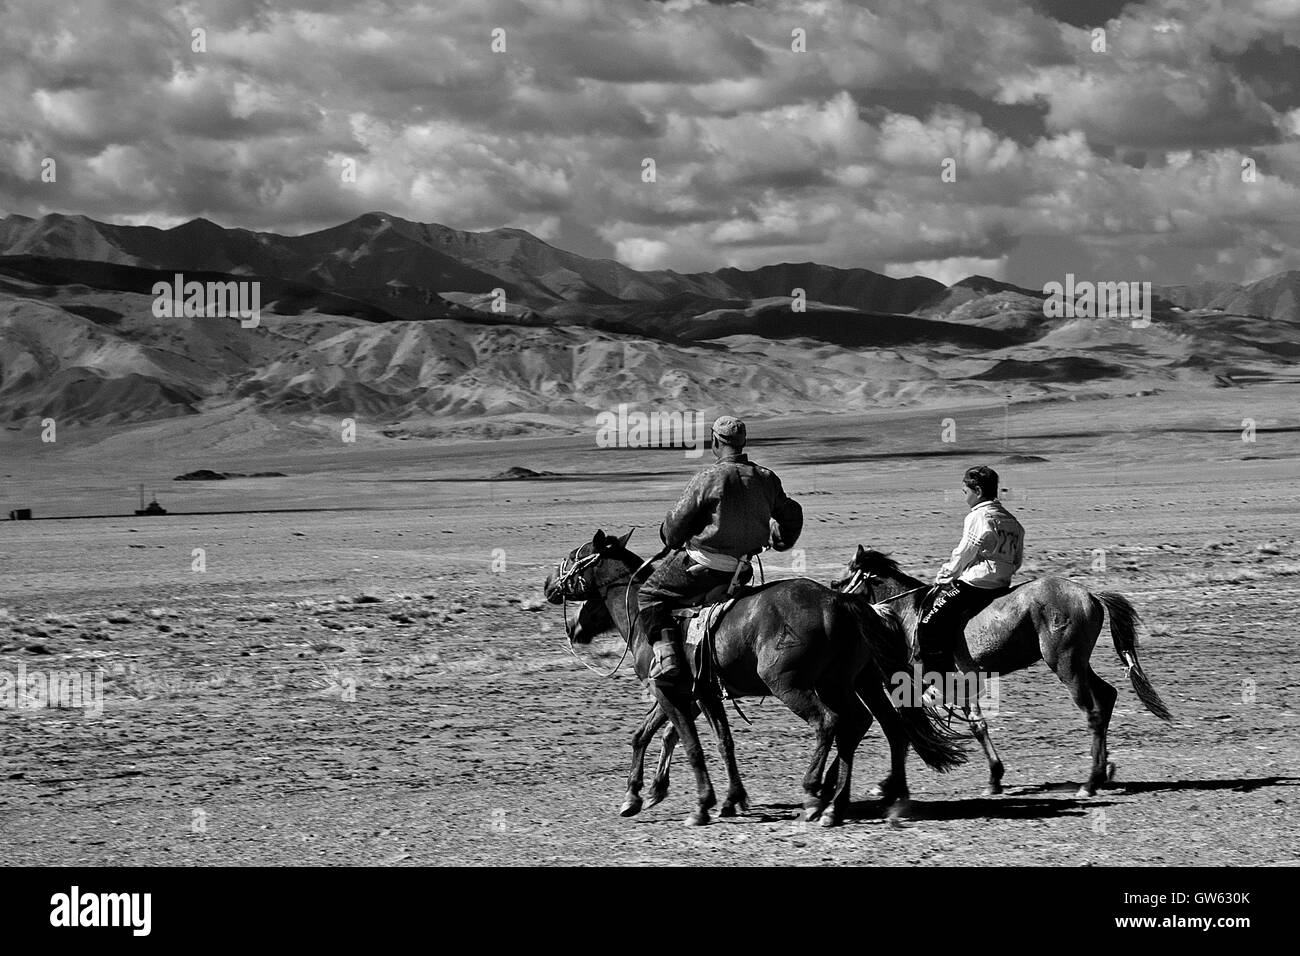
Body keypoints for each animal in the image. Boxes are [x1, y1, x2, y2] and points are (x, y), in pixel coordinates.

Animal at [540, 530, 967, 832]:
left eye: (575, 557)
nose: (549, 587)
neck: (646, 616)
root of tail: (841, 602)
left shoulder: (669, 690)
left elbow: (686, 743)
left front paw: (699, 805)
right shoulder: (699, 694)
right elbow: (708, 740)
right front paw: (723, 798)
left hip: (793, 685)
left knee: (831, 723)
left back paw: (816, 796)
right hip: (848, 682)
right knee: (868, 725)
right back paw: (844, 804)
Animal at [832, 546, 1180, 801]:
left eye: (844, 578)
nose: (834, 591)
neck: (910, 612)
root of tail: (1091, 596)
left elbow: (923, 724)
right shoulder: (960, 680)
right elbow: (968, 724)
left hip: (1066, 665)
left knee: (1093, 711)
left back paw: (1090, 782)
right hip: (1080, 664)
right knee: (1107, 696)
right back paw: (1104, 770)